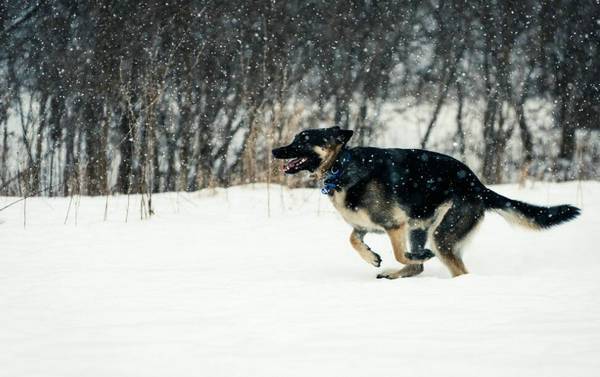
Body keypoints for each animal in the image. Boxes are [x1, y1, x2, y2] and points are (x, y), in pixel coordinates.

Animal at [272, 125, 580, 276]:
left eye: (303, 140)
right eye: (295, 137)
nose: (275, 150)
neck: (342, 166)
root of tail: (478, 185)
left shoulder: (395, 225)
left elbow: (399, 253)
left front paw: (409, 256)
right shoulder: (363, 227)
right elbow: (352, 240)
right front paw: (372, 257)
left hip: (440, 234)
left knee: (457, 269)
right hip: (420, 227)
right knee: (419, 268)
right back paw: (395, 273)